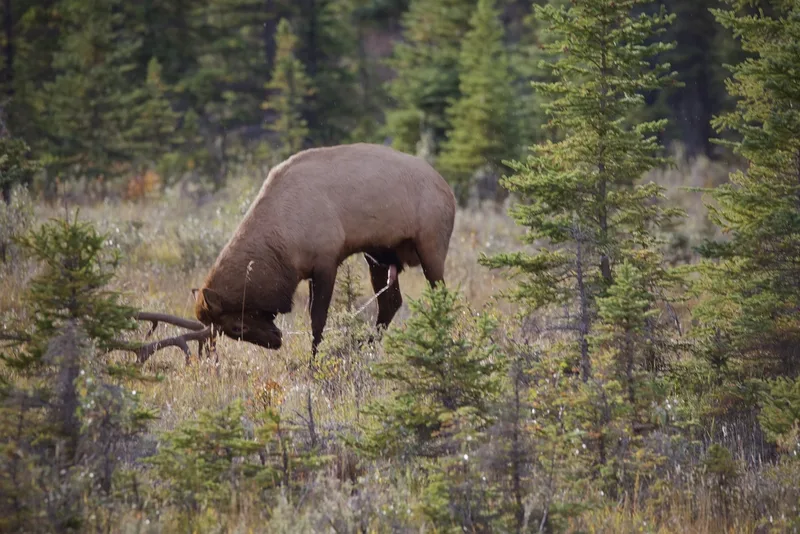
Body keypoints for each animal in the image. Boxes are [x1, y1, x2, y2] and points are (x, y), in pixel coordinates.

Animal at [126, 143, 457, 364]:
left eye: (236, 325)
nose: (275, 341)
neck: (283, 246)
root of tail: (448, 190)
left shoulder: (326, 261)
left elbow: (317, 320)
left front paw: (314, 363)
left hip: (430, 248)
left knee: (439, 294)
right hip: (378, 254)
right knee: (391, 302)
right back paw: (367, 347)